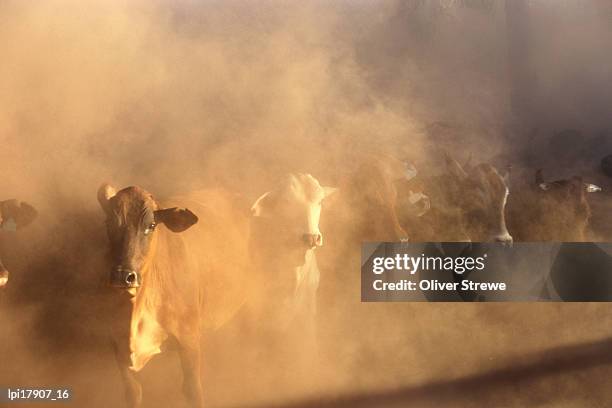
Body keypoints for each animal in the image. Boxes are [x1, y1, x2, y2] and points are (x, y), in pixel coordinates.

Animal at [97, 185, 249, 408]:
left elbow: (193, 391)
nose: (123, 275)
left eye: (151, 225)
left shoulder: (189, 339)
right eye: (109, 223)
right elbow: (133, 391)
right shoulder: (116, 340)